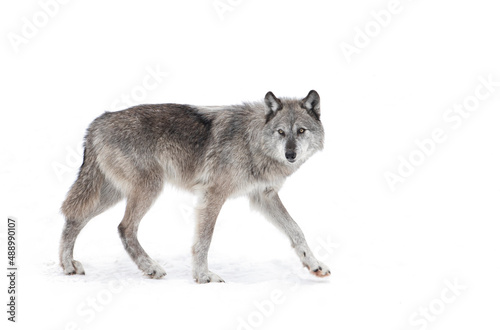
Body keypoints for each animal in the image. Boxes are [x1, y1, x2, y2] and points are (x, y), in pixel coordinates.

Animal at [59, 90, 332, 284]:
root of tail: (98, 122)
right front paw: (203, 276)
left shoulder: (264, 196)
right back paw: (151, 267)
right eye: (281, 132)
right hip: (148, 188)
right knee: (124, 227)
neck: (251, 141)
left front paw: (315, 265)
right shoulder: (213, 194)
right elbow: (204, 239)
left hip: (111, 194)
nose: (290, 154)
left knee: (75, 218)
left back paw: (68, 265)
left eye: (301, 131)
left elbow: (296, 231)